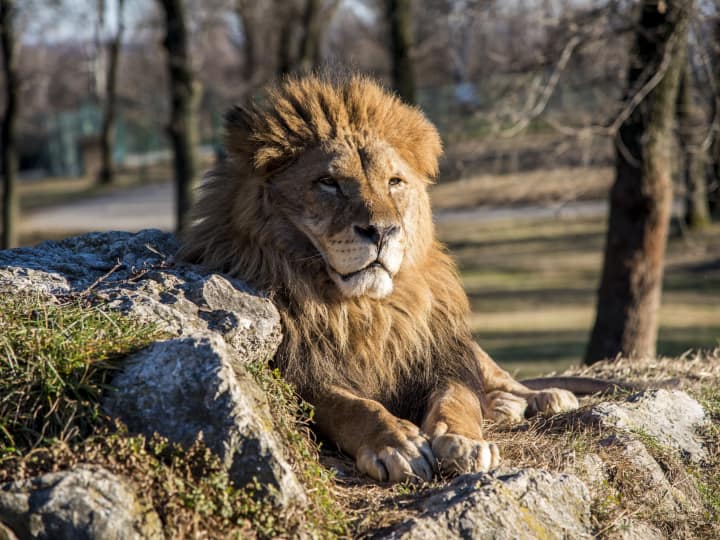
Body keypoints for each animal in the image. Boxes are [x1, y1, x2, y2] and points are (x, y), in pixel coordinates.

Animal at [179, 73, 579, 483]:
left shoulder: (439, 356)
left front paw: (464, 442)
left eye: (394, 182)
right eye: (329, 182)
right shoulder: (300, 373)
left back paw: (539, 397)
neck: (364, 309)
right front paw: (397, 444)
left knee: (495, 374)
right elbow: (352, 406)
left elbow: (459, 398)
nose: (383, 232)